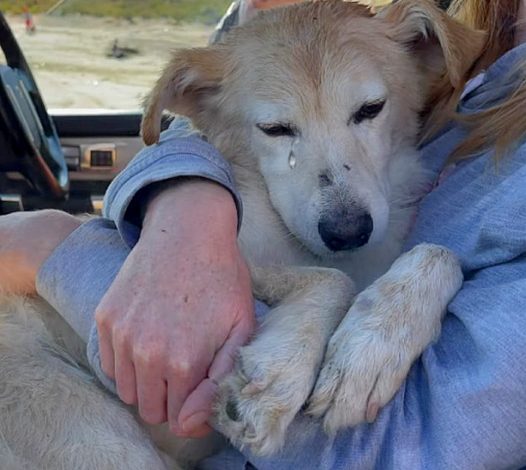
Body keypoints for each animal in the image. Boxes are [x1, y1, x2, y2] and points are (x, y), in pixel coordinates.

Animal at [1, 1, 486, 468]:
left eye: (370, 109)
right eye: (275, 129)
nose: (347, 231)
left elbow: (439, 254)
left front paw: (371, 350)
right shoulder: (211, 266)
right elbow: (335, 280)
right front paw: (280, 377)